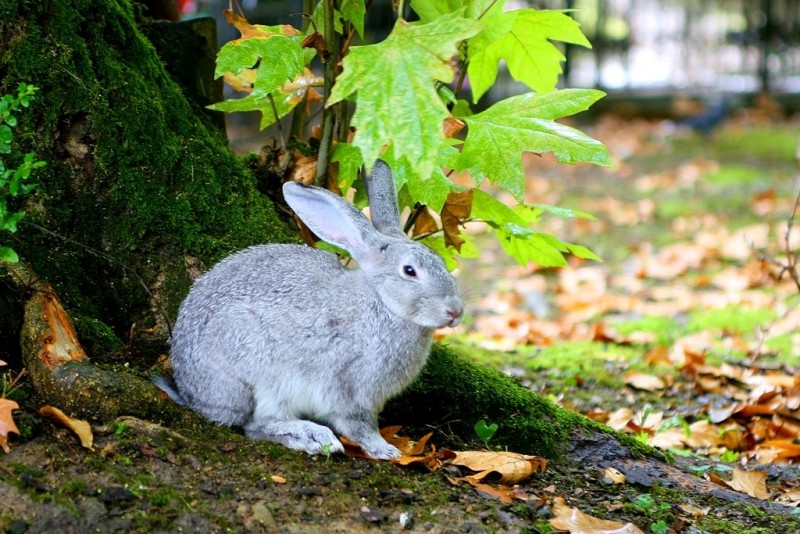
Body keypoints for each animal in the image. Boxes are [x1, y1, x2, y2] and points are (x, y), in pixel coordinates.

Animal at [154, 160, 464, 459]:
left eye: (441, 263)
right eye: (410, 271)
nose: (455, 312)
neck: (383, 302)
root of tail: (189, 390)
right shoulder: (349, 388)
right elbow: (360, 426)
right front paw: (385, 450)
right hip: (257, 375)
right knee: (254, 425)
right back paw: (312, 437)